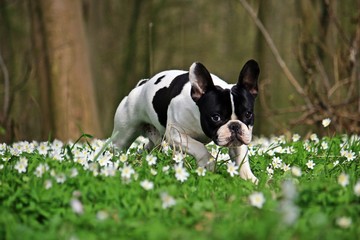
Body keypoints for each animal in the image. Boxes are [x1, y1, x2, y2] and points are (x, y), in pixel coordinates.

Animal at [112, 59, 258, 183]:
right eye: (216, 117)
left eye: (248, 114)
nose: (235, 126)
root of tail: (141, 85)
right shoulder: (176, 135)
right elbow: (199, 147)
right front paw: (208, 163)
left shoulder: (239, 140)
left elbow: (241, 157)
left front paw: (249, 178)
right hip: (123, 135)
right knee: (118, 146)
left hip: (155, 139)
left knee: (149, 148)